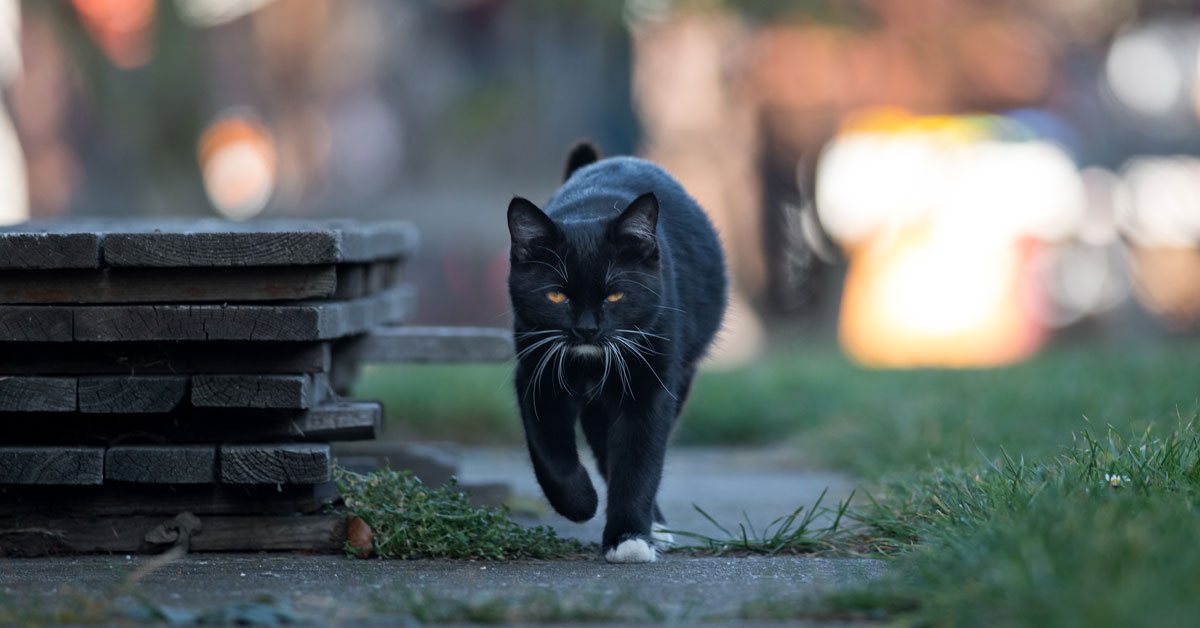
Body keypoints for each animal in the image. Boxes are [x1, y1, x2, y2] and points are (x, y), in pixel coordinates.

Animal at [508, 143, 724, 564]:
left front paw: (629, 539)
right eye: (556, 296)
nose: (586, 329)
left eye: (615, 295)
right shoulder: (536, 371)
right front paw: (581, 502)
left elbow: (639, 458)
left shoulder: (651, 381)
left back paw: (654, 526)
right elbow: (549, 450)